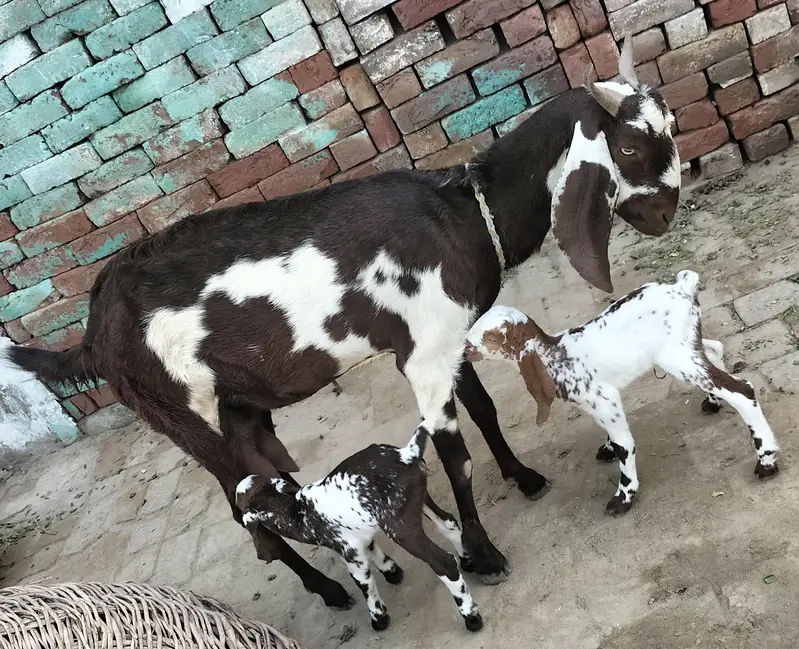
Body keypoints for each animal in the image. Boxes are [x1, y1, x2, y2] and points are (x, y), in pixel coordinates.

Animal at [4, 38, 682, 605]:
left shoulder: (443, 337)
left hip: (241, 410)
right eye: (627, 147)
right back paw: (328, 592)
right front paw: (484, 554)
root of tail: (93, 333)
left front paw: (523, 477)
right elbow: (455, 457)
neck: (460, 213)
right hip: (190, 418)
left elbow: (485, 412)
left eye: (671, 128)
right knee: (241, 508)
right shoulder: (424, 356)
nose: (666, 214)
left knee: (263, 489)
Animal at [236, 430, 481, 632]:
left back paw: (471, 617)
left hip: (399, 526)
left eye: (238, 502)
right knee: (449, 523)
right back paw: (468, 561)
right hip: (419, 500)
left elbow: (363, 581)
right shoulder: (359, 534)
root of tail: (405, 454)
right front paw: (392, 571)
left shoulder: (349, 551)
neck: (298, 511)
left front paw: (379, 618)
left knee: (442, 562)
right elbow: (374, 550)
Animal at [464, 270, 780, 515]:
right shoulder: (602, 402)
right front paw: (605, 448)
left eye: (493, 338)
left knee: (741, 389)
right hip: (688, 345)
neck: (557, 356)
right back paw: (713, 402)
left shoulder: (603, 397)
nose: (464, 348)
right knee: (715, 350)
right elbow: (611, 435)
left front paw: (624, 496)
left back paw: (766, 461)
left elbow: (624, 444)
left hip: (676, 357)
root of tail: (682, 286)